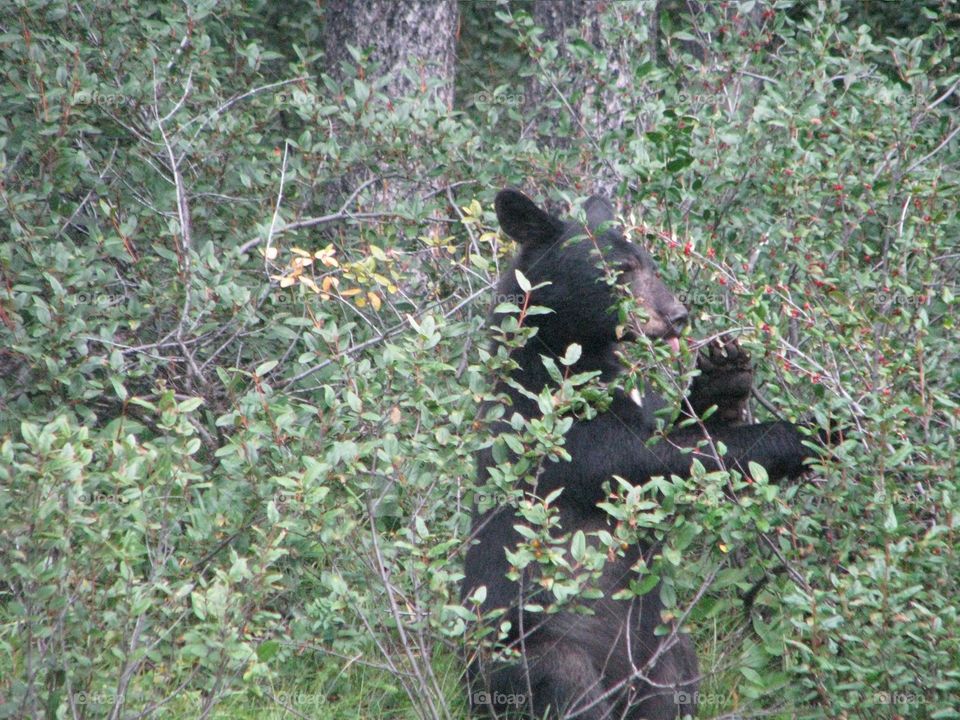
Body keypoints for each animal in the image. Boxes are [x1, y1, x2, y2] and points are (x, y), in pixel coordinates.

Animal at [462, 188, 820, 716]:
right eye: (622, 269)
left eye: (651, 264)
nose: (678, 315)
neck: (572, 353)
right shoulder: (552, 423)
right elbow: (654, 460)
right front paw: (815, 431)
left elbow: (678, 435)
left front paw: (725, 373)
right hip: (531, 652)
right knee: (565, 684)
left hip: (667, 651)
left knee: (672, 690)